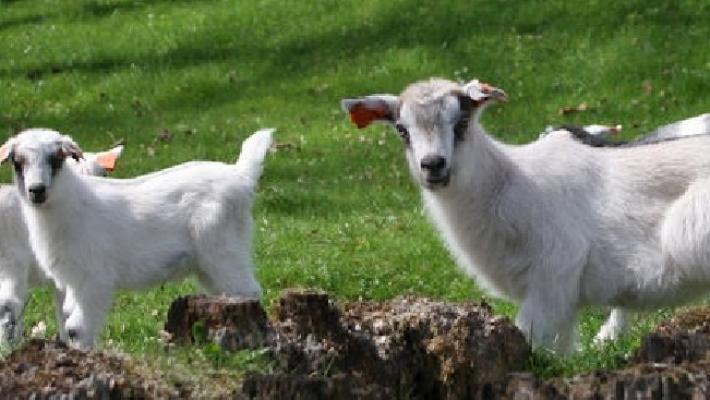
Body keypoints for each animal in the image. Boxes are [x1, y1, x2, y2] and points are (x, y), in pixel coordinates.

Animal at [344, 78, 710, 354]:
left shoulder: (554, 274)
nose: (433, 165)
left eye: (461, 122)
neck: (512, 183)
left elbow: (531, 343)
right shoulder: (562, 301)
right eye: (402, 130)